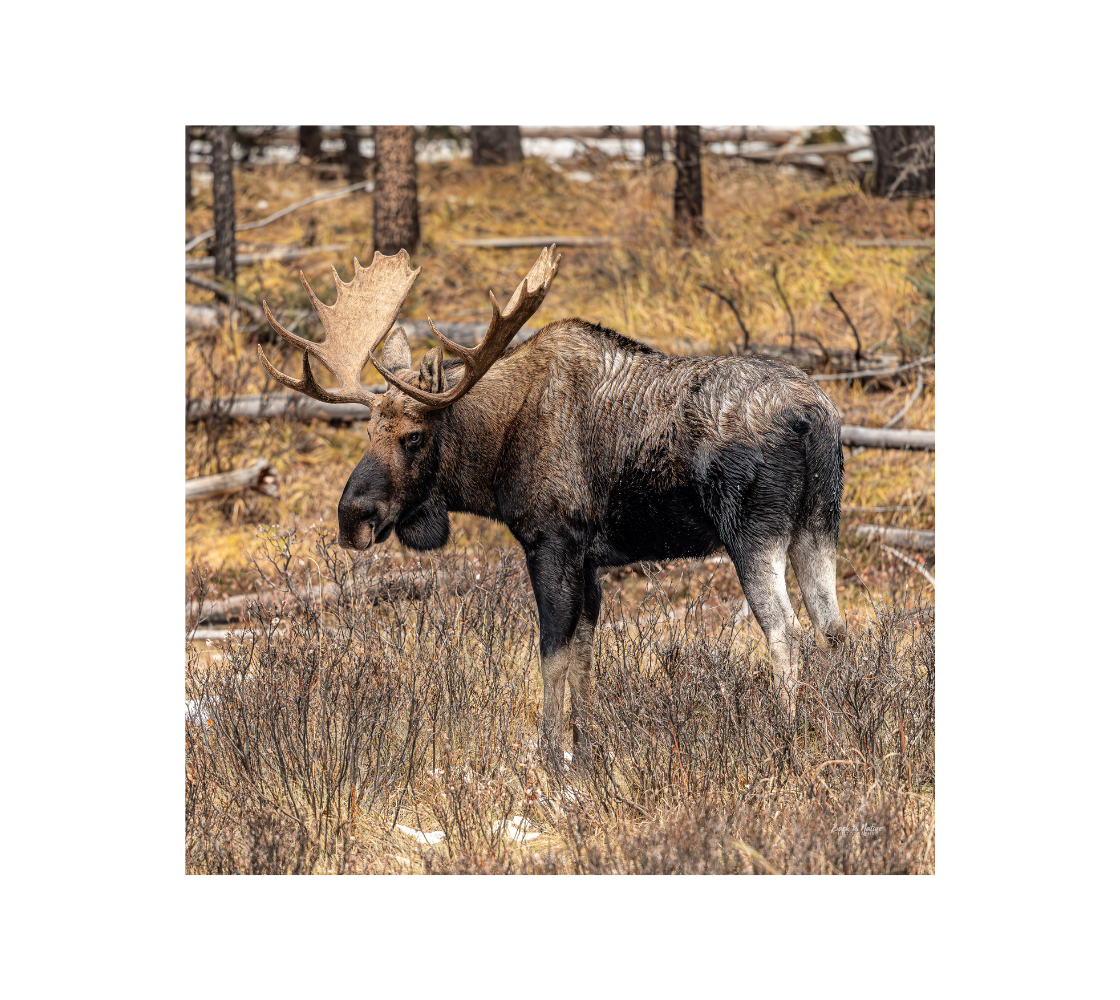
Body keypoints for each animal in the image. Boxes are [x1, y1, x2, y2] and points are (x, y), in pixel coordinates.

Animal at [258, 247, 846, 749]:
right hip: (817, 523)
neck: (494, 457)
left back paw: (786, 735)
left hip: (752, 532)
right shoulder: (589, 558)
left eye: (414, 437)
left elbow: (551, 654)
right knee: (832, 626)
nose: (351, 517)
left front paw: (551, 756)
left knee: (785, 628)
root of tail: (810, 417)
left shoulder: (552, 540)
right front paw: (585, 748)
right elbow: (584, 652)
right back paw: (844, 722)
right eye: (366, 432)